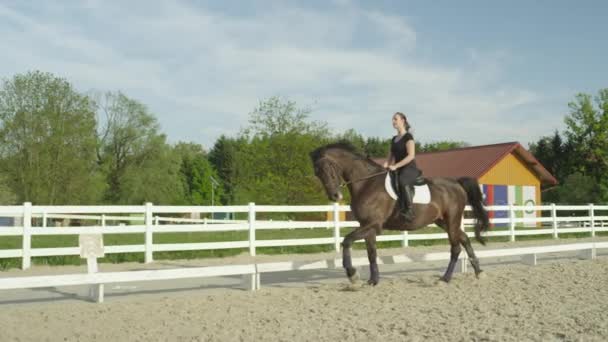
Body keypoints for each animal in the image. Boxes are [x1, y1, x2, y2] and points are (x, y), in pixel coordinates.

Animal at [312, 143, 492, 284]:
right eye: (317, 173)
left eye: (328, 168)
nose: (335, 196)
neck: (367, 183)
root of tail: (457, 183)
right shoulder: (367, 226)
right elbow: (371, 253)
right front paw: (373, 280)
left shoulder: (373, 224)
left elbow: (346, 241)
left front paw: (352, 275)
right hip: (444, 221)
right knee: (464, 238)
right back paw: (479, 272)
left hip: (452, 219)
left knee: (455, 248)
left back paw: (445, 278)